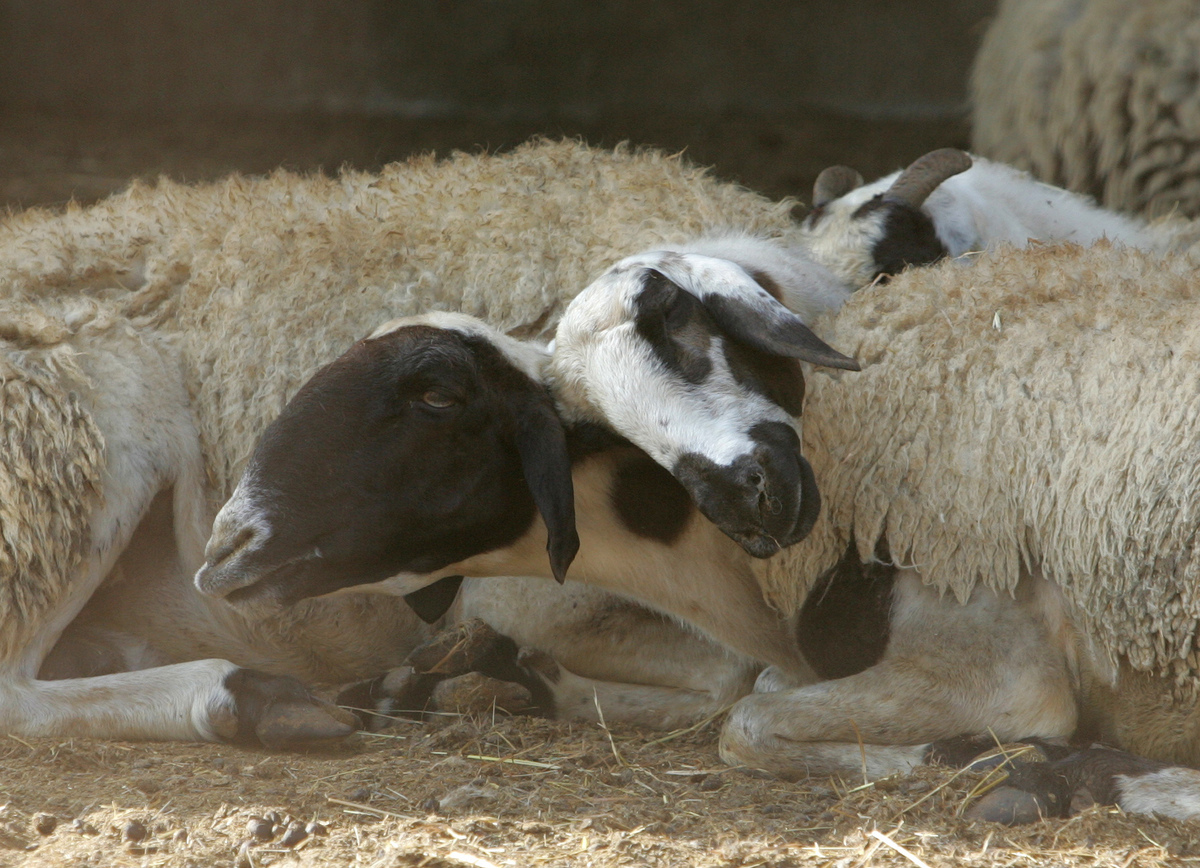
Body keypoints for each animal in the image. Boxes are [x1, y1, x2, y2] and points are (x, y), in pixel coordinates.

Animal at [0, 137, 864, 749]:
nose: (761, 495)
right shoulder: (530, 593)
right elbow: (735, 675)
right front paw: (483, 680)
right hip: (77, 442)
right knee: (14, 693)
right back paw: (254, 699)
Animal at [208, 242, 1200, 821]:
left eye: (437, 396)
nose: (223, 548)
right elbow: (746, 700)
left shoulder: (996, 663)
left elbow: (748, 723)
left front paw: (1005, 763)